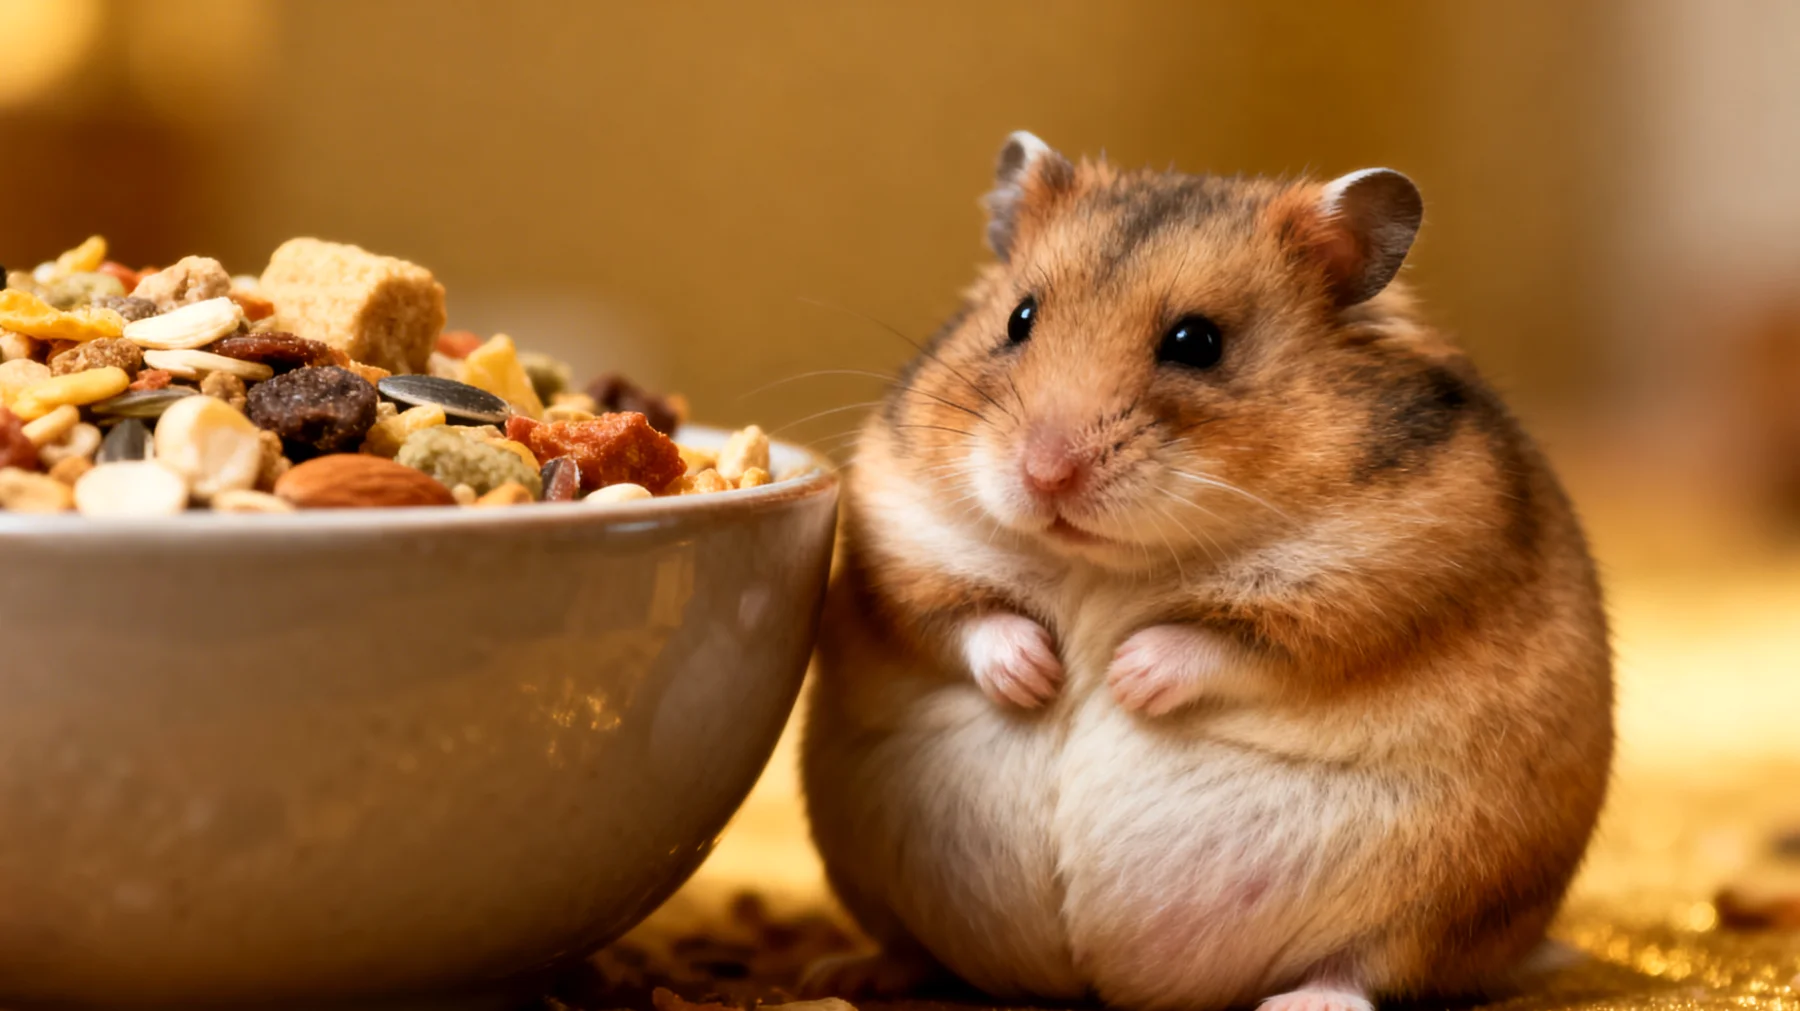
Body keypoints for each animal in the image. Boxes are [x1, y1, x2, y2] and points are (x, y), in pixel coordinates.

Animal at [799, 131, 1613, 1011]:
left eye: (1196, 343)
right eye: (1020, 319)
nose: (1045, 473)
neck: (1101, 564)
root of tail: (1101, 981)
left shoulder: (1375, 586)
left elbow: (1222, 640)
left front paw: (1119, 678)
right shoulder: (901, 537)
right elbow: (964, 618)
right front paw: (1043, 679)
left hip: (1446, 894)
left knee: (1370, 967)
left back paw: (1305, 1001)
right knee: (913, 950)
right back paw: (843, 971)